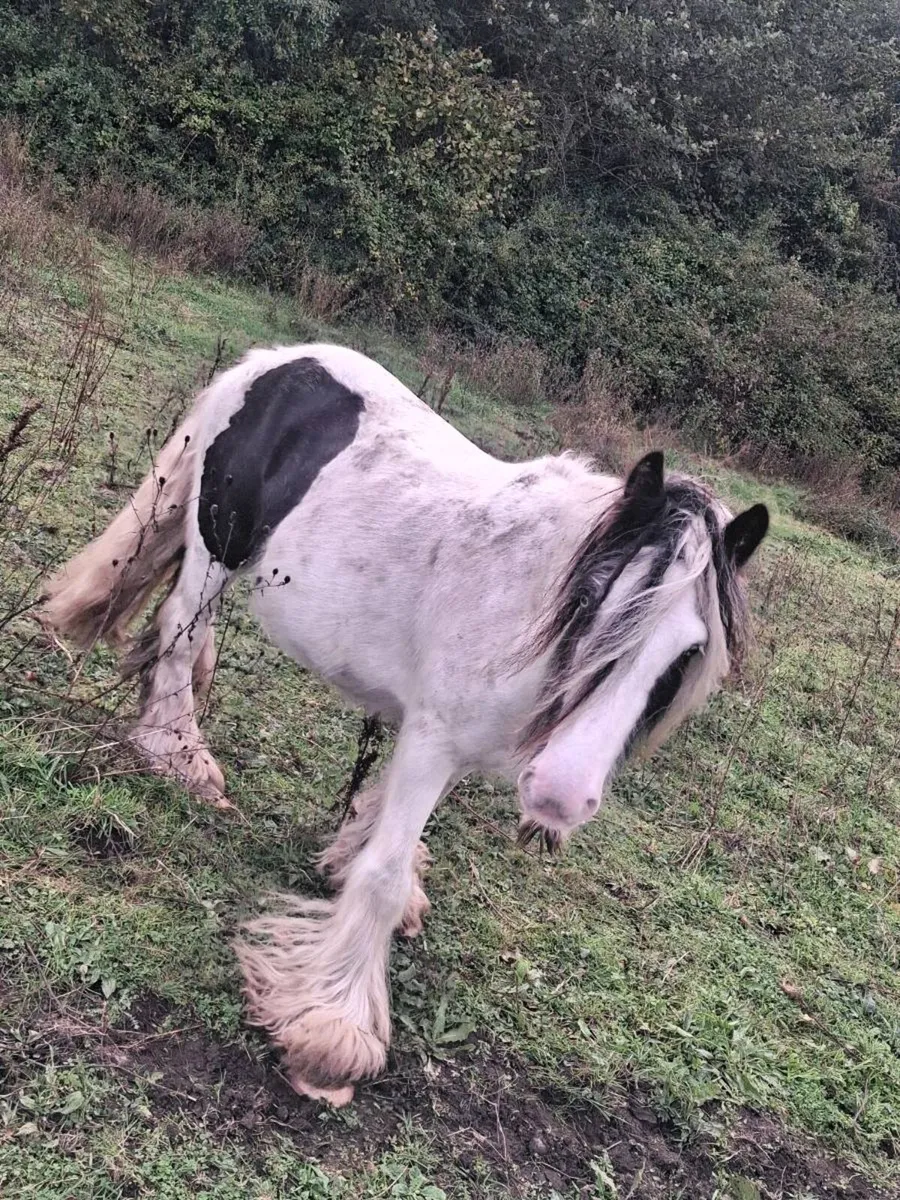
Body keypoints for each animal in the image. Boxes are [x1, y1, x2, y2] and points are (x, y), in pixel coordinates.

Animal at [42, 343, 769, 1104]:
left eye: (686, 653)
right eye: (593, 600)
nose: (560, 797)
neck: (523, 598)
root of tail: (275, 362)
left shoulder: (438, 737)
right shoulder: (434, 738)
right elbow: (383, 878)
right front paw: (331, 1034)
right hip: (215, 553)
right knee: (180, 633)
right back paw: (177, 754)